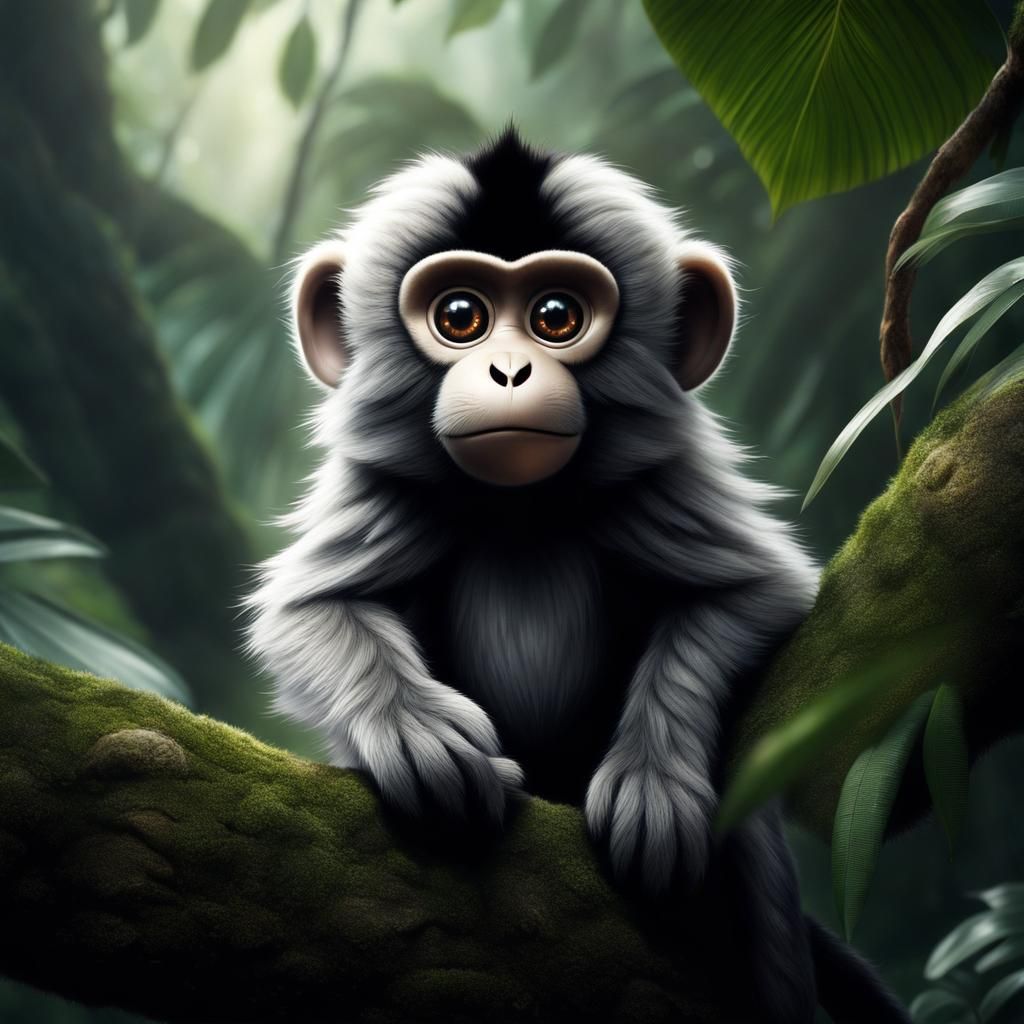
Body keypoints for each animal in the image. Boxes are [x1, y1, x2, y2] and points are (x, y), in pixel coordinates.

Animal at [245, 130, 910, 1024]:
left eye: (555, 317)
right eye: (460, 317)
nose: (509, 374)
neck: (524, 510)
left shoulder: (663, 484)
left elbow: (751, 595)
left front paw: (653, 779)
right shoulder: (386, 488)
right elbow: (313, 608)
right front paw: (422, 737)